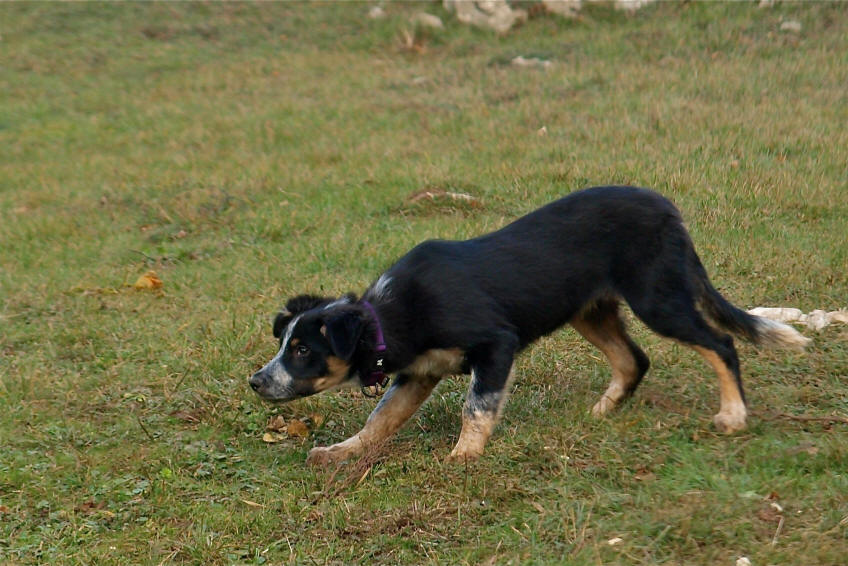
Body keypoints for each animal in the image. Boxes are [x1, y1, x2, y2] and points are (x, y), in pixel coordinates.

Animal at [247, 186, 808, 466]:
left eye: (301, 351)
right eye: (285, 344)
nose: (256, 381)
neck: (389, 316)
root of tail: (669, 208)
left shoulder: (497, 344)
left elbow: (477, 406)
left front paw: (463, 457)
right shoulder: (418, 374)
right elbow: (380, 418)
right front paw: (342, 452)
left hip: (658, 298)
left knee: (721, 342)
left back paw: (733, 415)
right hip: (589, 310)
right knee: (634, 358)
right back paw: (600, 412)